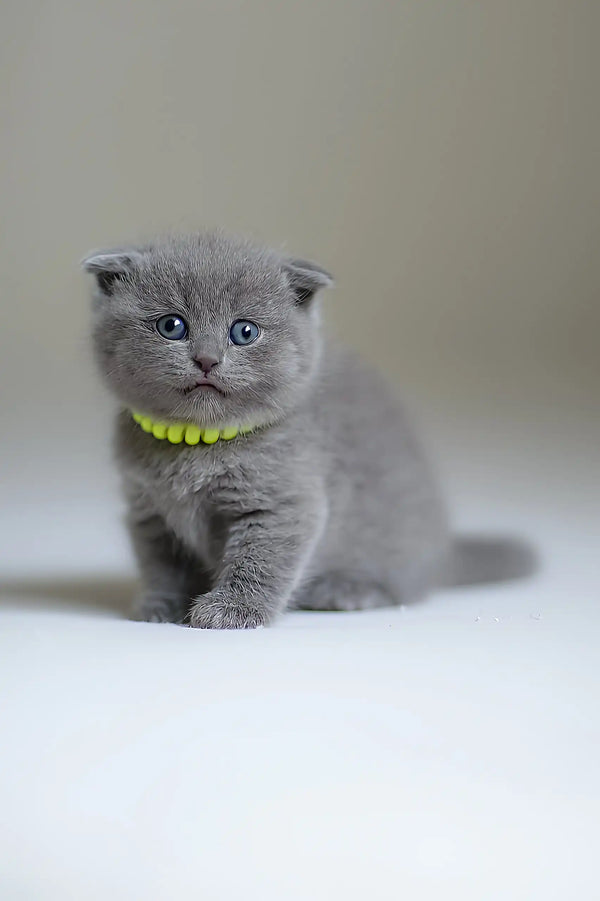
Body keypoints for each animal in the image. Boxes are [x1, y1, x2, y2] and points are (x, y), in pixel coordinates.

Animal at [83, 232, 528, 624]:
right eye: (172, 326)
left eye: (244, 331)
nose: (207, 359)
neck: (198, 445)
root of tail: (447, 551)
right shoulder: (149, 512)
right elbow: (161, 567)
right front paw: (160, 605)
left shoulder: (284, 501)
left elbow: (260, 561)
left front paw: (231, 611)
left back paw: (348, 591)